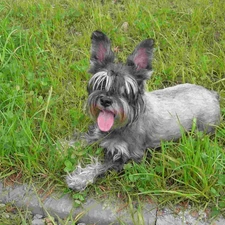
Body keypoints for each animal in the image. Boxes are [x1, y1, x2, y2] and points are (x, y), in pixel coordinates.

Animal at [66, 30, 221, 191]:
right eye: (101, 83)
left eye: (126, 89)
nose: (106, 101)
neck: (123, 124)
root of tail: (213, 95)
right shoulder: (97, 133)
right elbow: (81, 139)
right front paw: (63, 147)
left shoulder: (127, 157)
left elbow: (100, 166)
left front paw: (79, 179)